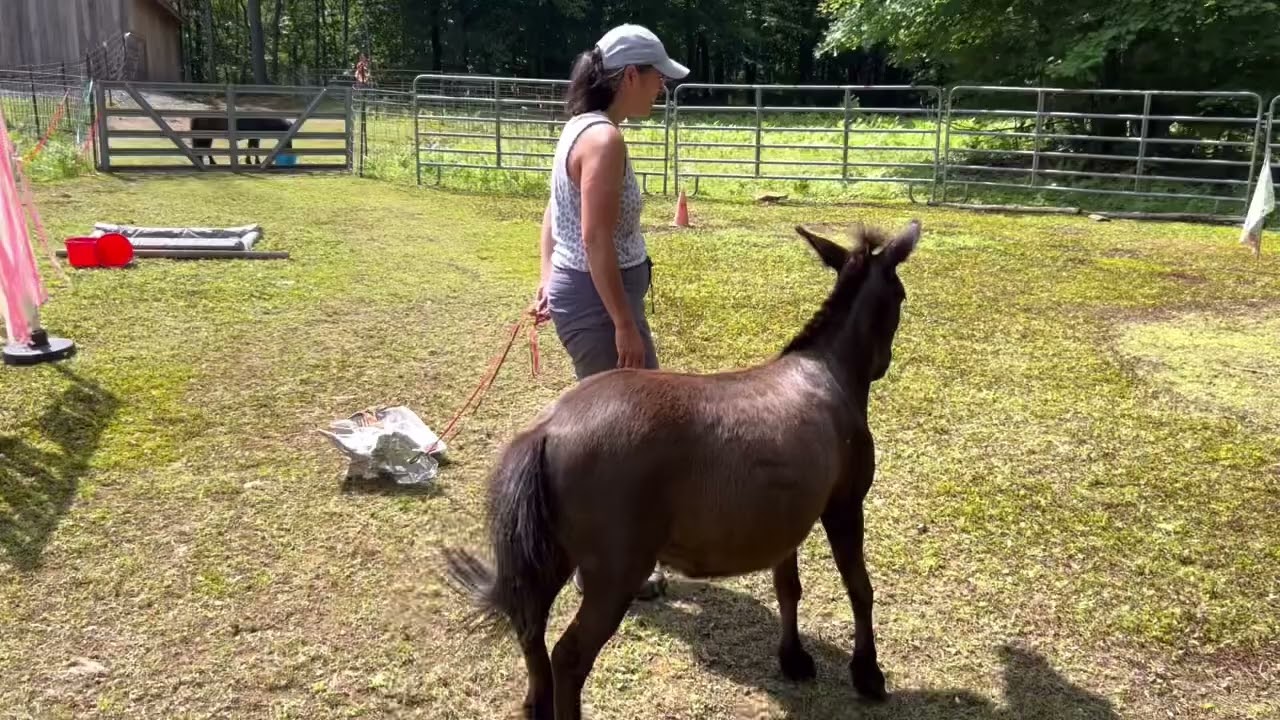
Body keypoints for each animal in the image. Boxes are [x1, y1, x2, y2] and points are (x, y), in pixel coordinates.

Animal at [444, 219, 921, 720]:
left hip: (551, 555)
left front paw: (793, 659)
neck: (826, 373)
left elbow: (787, 587)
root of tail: (548, 428)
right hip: (614, 573)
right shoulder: (845, 505)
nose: (883, 364)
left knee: (531, 629)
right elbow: (859, 588)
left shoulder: (785, 517)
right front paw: (868, 674)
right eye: (901, 295)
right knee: (569, 657)